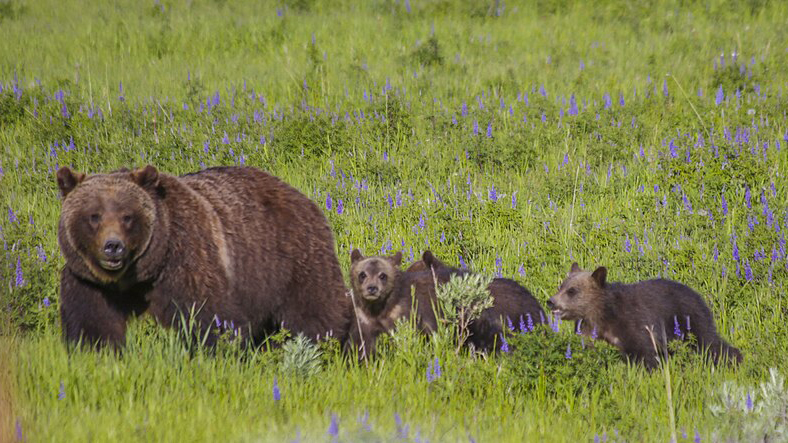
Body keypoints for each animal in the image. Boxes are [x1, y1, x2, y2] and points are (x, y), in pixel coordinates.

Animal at [55, 164, 350, 350]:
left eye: (127, 216)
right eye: (94, 216)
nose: (113, 247)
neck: (138, 276)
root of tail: (301, 196)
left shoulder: (185, 259)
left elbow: (210, 315)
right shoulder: (90, 283)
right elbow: (92, 324)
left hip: (291, 259)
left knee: (314, 310)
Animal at [552, 264, 740, 372]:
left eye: (572, 291)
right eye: (561, 286)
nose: (551, 301)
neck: (602, 315)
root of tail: (697, 295)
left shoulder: (634, 322)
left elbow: (645, 353)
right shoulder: (588, 330)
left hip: (690, 320)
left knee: (710, 342)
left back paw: (733, 360)